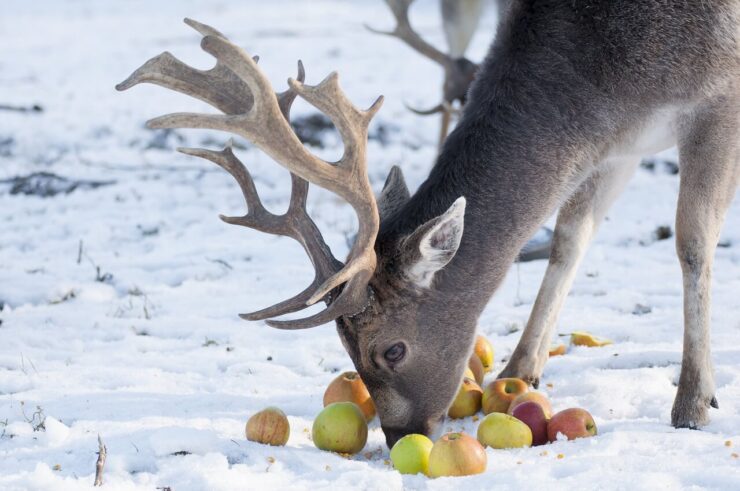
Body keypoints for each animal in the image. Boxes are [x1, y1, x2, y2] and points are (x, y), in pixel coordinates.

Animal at [117, 0, 739, 449]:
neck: (613, 81)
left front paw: (693, 403)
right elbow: (569, 239)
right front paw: (520, 369)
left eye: (392, 350)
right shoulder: (616, 147)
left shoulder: (718, 100)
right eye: (343, 344)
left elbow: (692, 242)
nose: (400, 436)